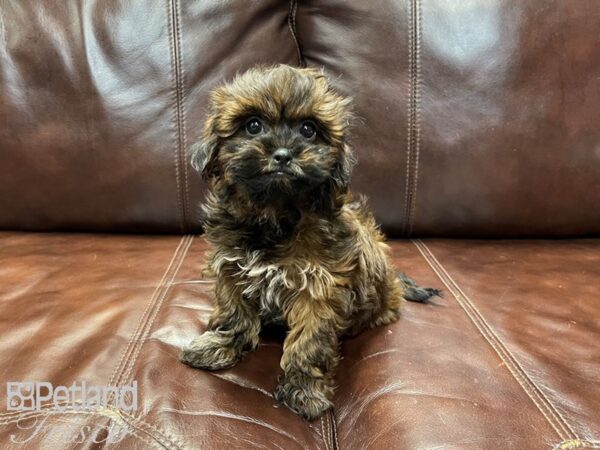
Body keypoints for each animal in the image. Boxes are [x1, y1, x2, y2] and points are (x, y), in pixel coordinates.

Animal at [180, 65, 438, 420]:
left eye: (308, 129)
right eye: (253, 125)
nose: (283, 155)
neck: (275, 214)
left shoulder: (319, 286)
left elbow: (309, 339)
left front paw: (303, 388)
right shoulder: (231, 267)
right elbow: (235, 313)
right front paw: (221, 344)